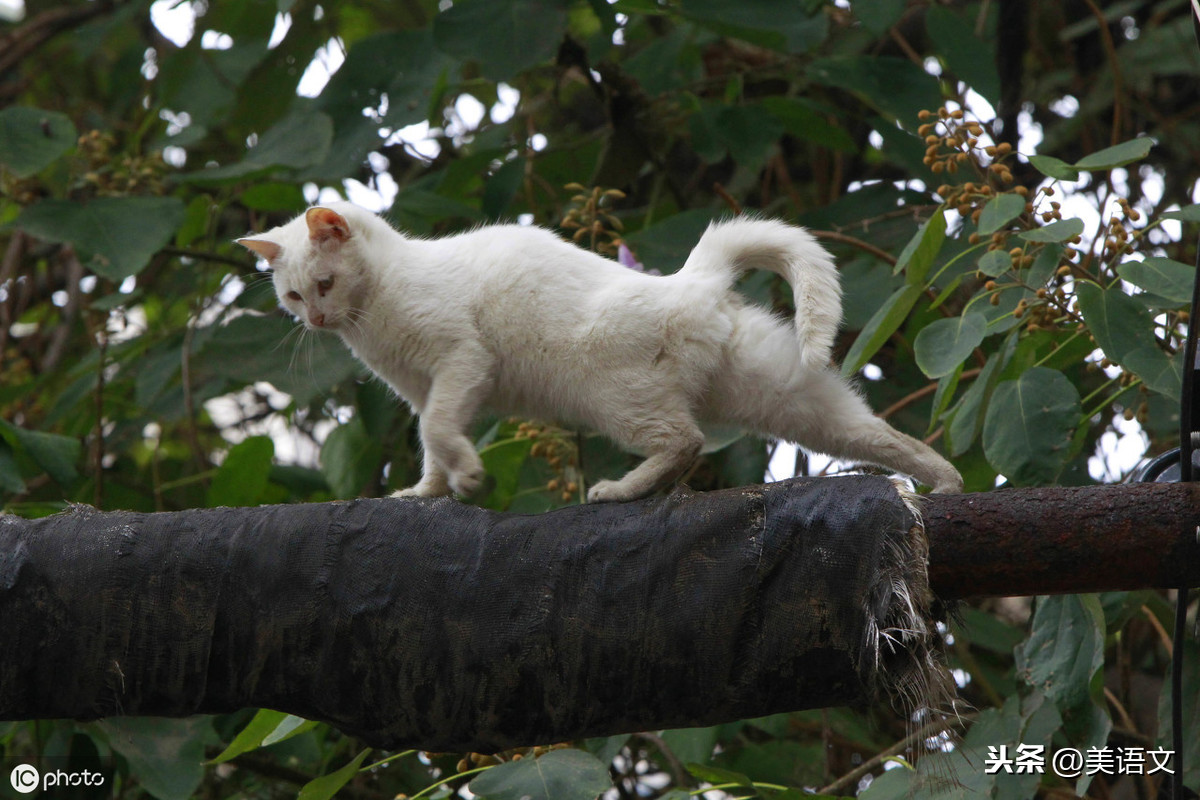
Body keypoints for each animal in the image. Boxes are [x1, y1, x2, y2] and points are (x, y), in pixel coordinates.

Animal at [238, 203, 960, 501]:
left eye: (323, 285)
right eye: (293, 295)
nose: (317, 319)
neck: (376, 310)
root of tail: (692, 282)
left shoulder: (461, 363)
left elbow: (438, 431)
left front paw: (467, 479)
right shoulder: (423, 387)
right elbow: (429, 443)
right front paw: (426, 493)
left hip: (613, 396)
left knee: (686, 441)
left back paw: (616, 491)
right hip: (788, 396)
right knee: (880, 435)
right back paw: (945, 481)